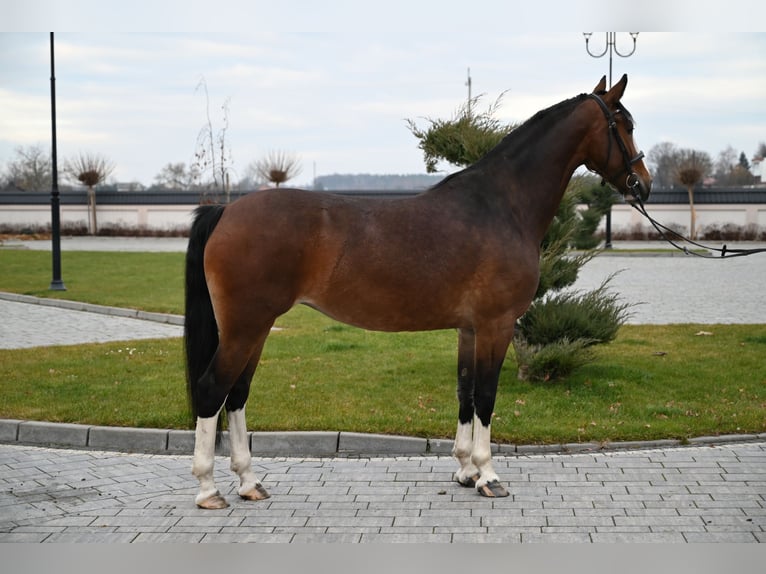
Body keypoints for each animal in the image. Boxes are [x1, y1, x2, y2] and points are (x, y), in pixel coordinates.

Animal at [184, 75, 656, 508]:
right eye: (625, 124)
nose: (643, 184)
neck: (501, 206)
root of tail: (225, 210)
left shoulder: (470, 329)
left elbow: (466, 393)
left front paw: (465, 471)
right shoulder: (496, 325)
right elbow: (487, 396)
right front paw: (488, 476)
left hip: (256, 327)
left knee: (237, 396)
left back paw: (249, 483)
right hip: (246, 326)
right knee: (212, 390)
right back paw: (208, 490)